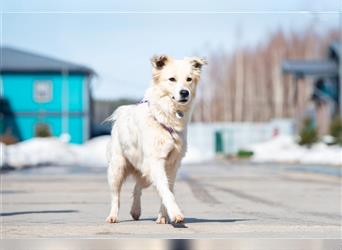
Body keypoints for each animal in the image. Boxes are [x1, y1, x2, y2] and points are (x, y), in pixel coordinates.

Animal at [105, 55, 206, 225]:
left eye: (189, 79)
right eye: (172, 79)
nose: (184, 92)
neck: (166, 117)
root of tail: (122, 112)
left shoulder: (172, 164)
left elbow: (168, 189)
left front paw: (163, 216)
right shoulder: (156, 161)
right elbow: (166, 191)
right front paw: (176, 213)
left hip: (144, 170)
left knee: (137, 187)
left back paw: (135, 211)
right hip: (118, 168)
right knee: (115, 195)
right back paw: (112, 216)